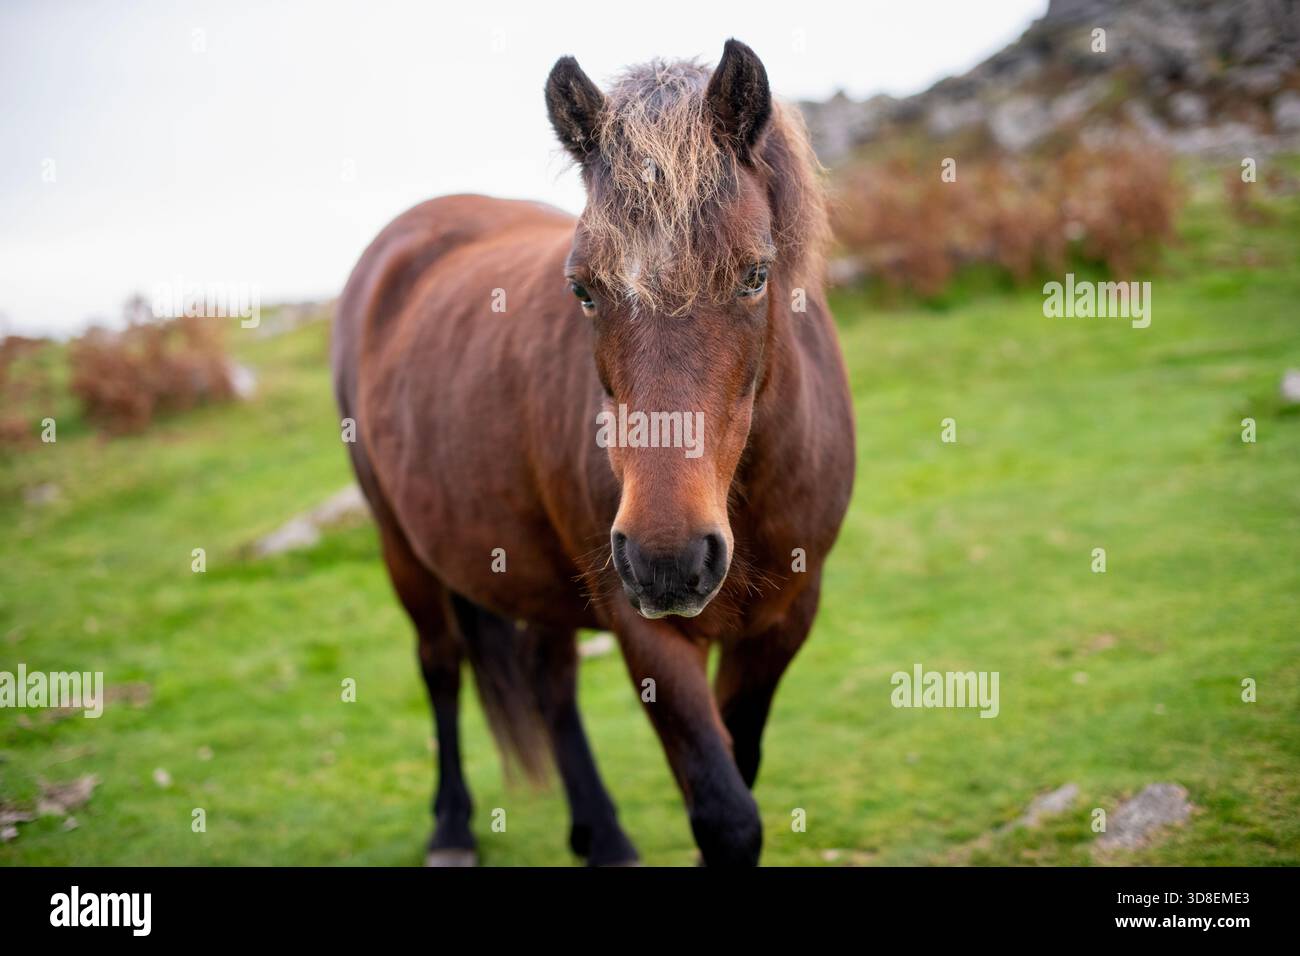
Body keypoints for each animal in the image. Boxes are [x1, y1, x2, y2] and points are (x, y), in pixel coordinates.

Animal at [332, 39, 855, 867]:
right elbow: (725, 815)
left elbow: (739, 773)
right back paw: (452, 827)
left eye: (755, 275)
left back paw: (600, 834)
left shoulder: (784, 621)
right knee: (440, 666)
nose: (669, 558)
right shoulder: (645, 629)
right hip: (403, 548)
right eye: (582, 289)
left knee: (549, 683)